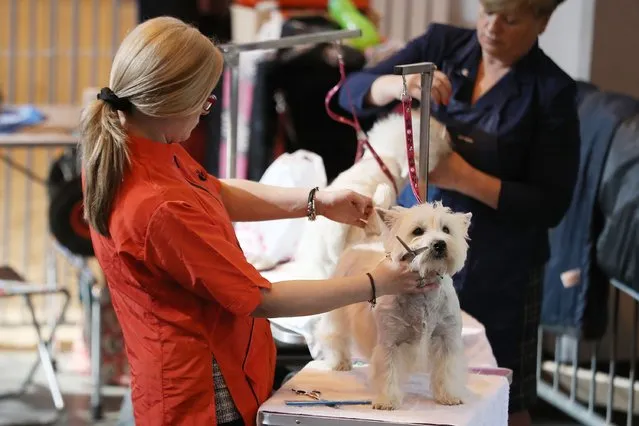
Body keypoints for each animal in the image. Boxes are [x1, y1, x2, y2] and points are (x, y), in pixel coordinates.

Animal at [312, 199, 472, 410]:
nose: (439, 244)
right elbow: (388, 370)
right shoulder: (389, 341)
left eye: (446, 229)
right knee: (334, 334)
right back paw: (340, 362)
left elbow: (447, 370)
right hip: (338, 309)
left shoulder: (448, 338)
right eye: (418, 231)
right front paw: (387, 401)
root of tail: (366, 241)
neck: (424, 294)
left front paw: (449, 396)